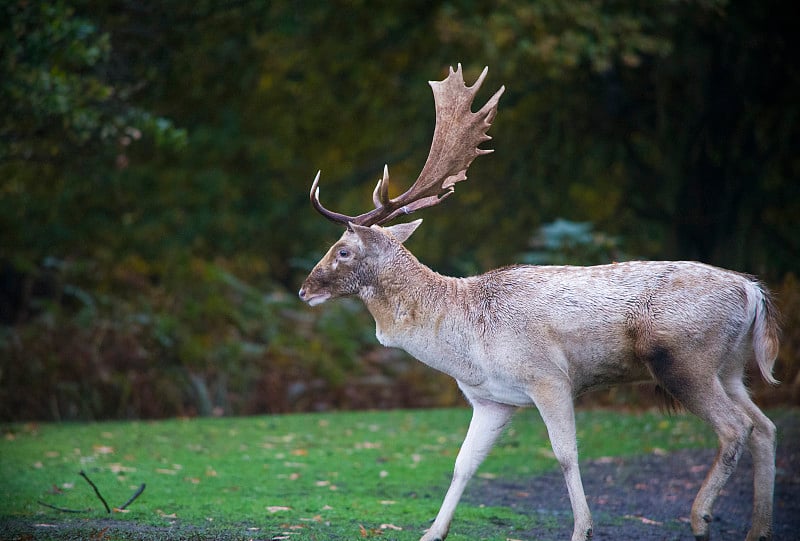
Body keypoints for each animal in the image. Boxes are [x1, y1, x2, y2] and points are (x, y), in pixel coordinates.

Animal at [296, 64, 780, 540]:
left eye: (343, 250)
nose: (304, 289)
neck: (463, 344)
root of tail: (752, 292)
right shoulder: (492, 400)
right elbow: (463, 464)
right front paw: (433, 532)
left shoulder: (549, 378)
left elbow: (566, 454)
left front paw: (582, 529)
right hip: (730, 367)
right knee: (765, 427)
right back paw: (757, 528)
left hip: (684, 359)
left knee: (736, 428)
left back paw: (701, 517)